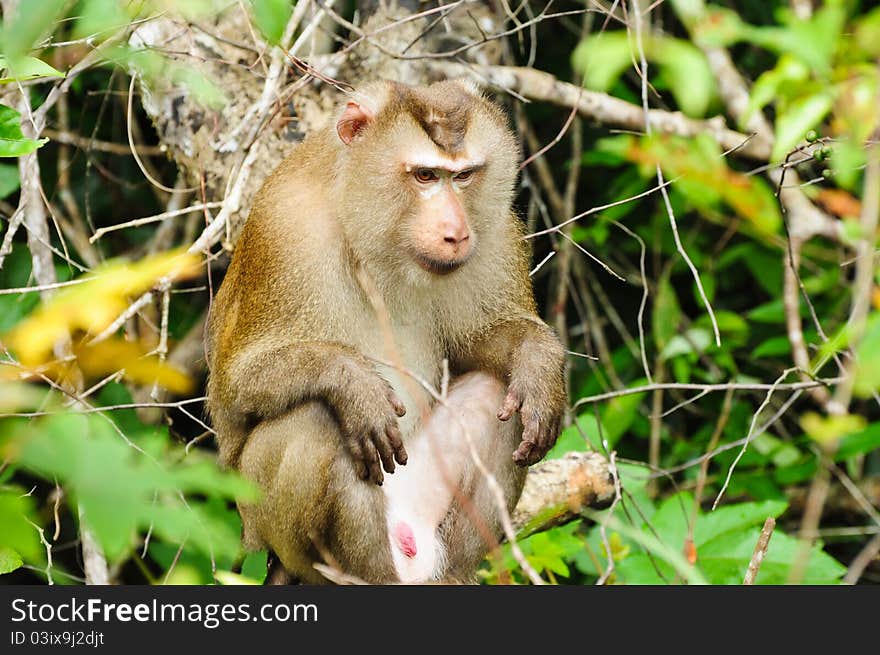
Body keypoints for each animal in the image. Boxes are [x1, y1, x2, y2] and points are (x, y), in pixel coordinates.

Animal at [205, 78, 564, 584]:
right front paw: (353, 383)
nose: (456, 232)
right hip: (262, 523)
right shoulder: (283, 230)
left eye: (463, 176)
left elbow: (479, 345)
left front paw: (538, 362)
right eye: (425, 176)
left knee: (498, 393)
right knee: (316, 418)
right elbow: (235, 388)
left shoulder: (495, 233)